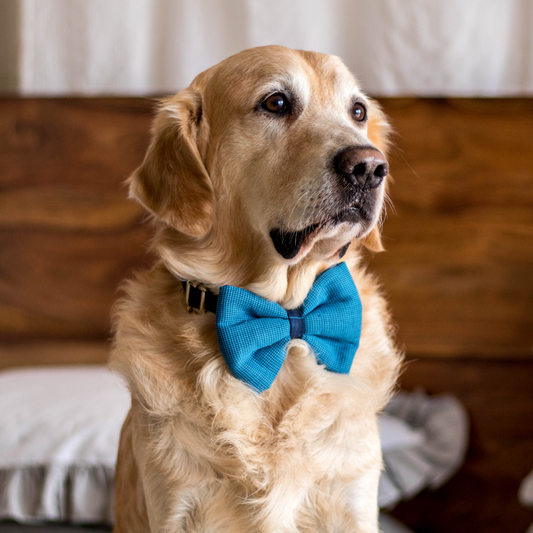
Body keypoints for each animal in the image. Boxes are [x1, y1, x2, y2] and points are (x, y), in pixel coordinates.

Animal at [111, 45, 400, 532]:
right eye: (276, 102)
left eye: (358, 111)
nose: (369, 166)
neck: (283, 319)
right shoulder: (177, 503)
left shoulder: (353, 498)